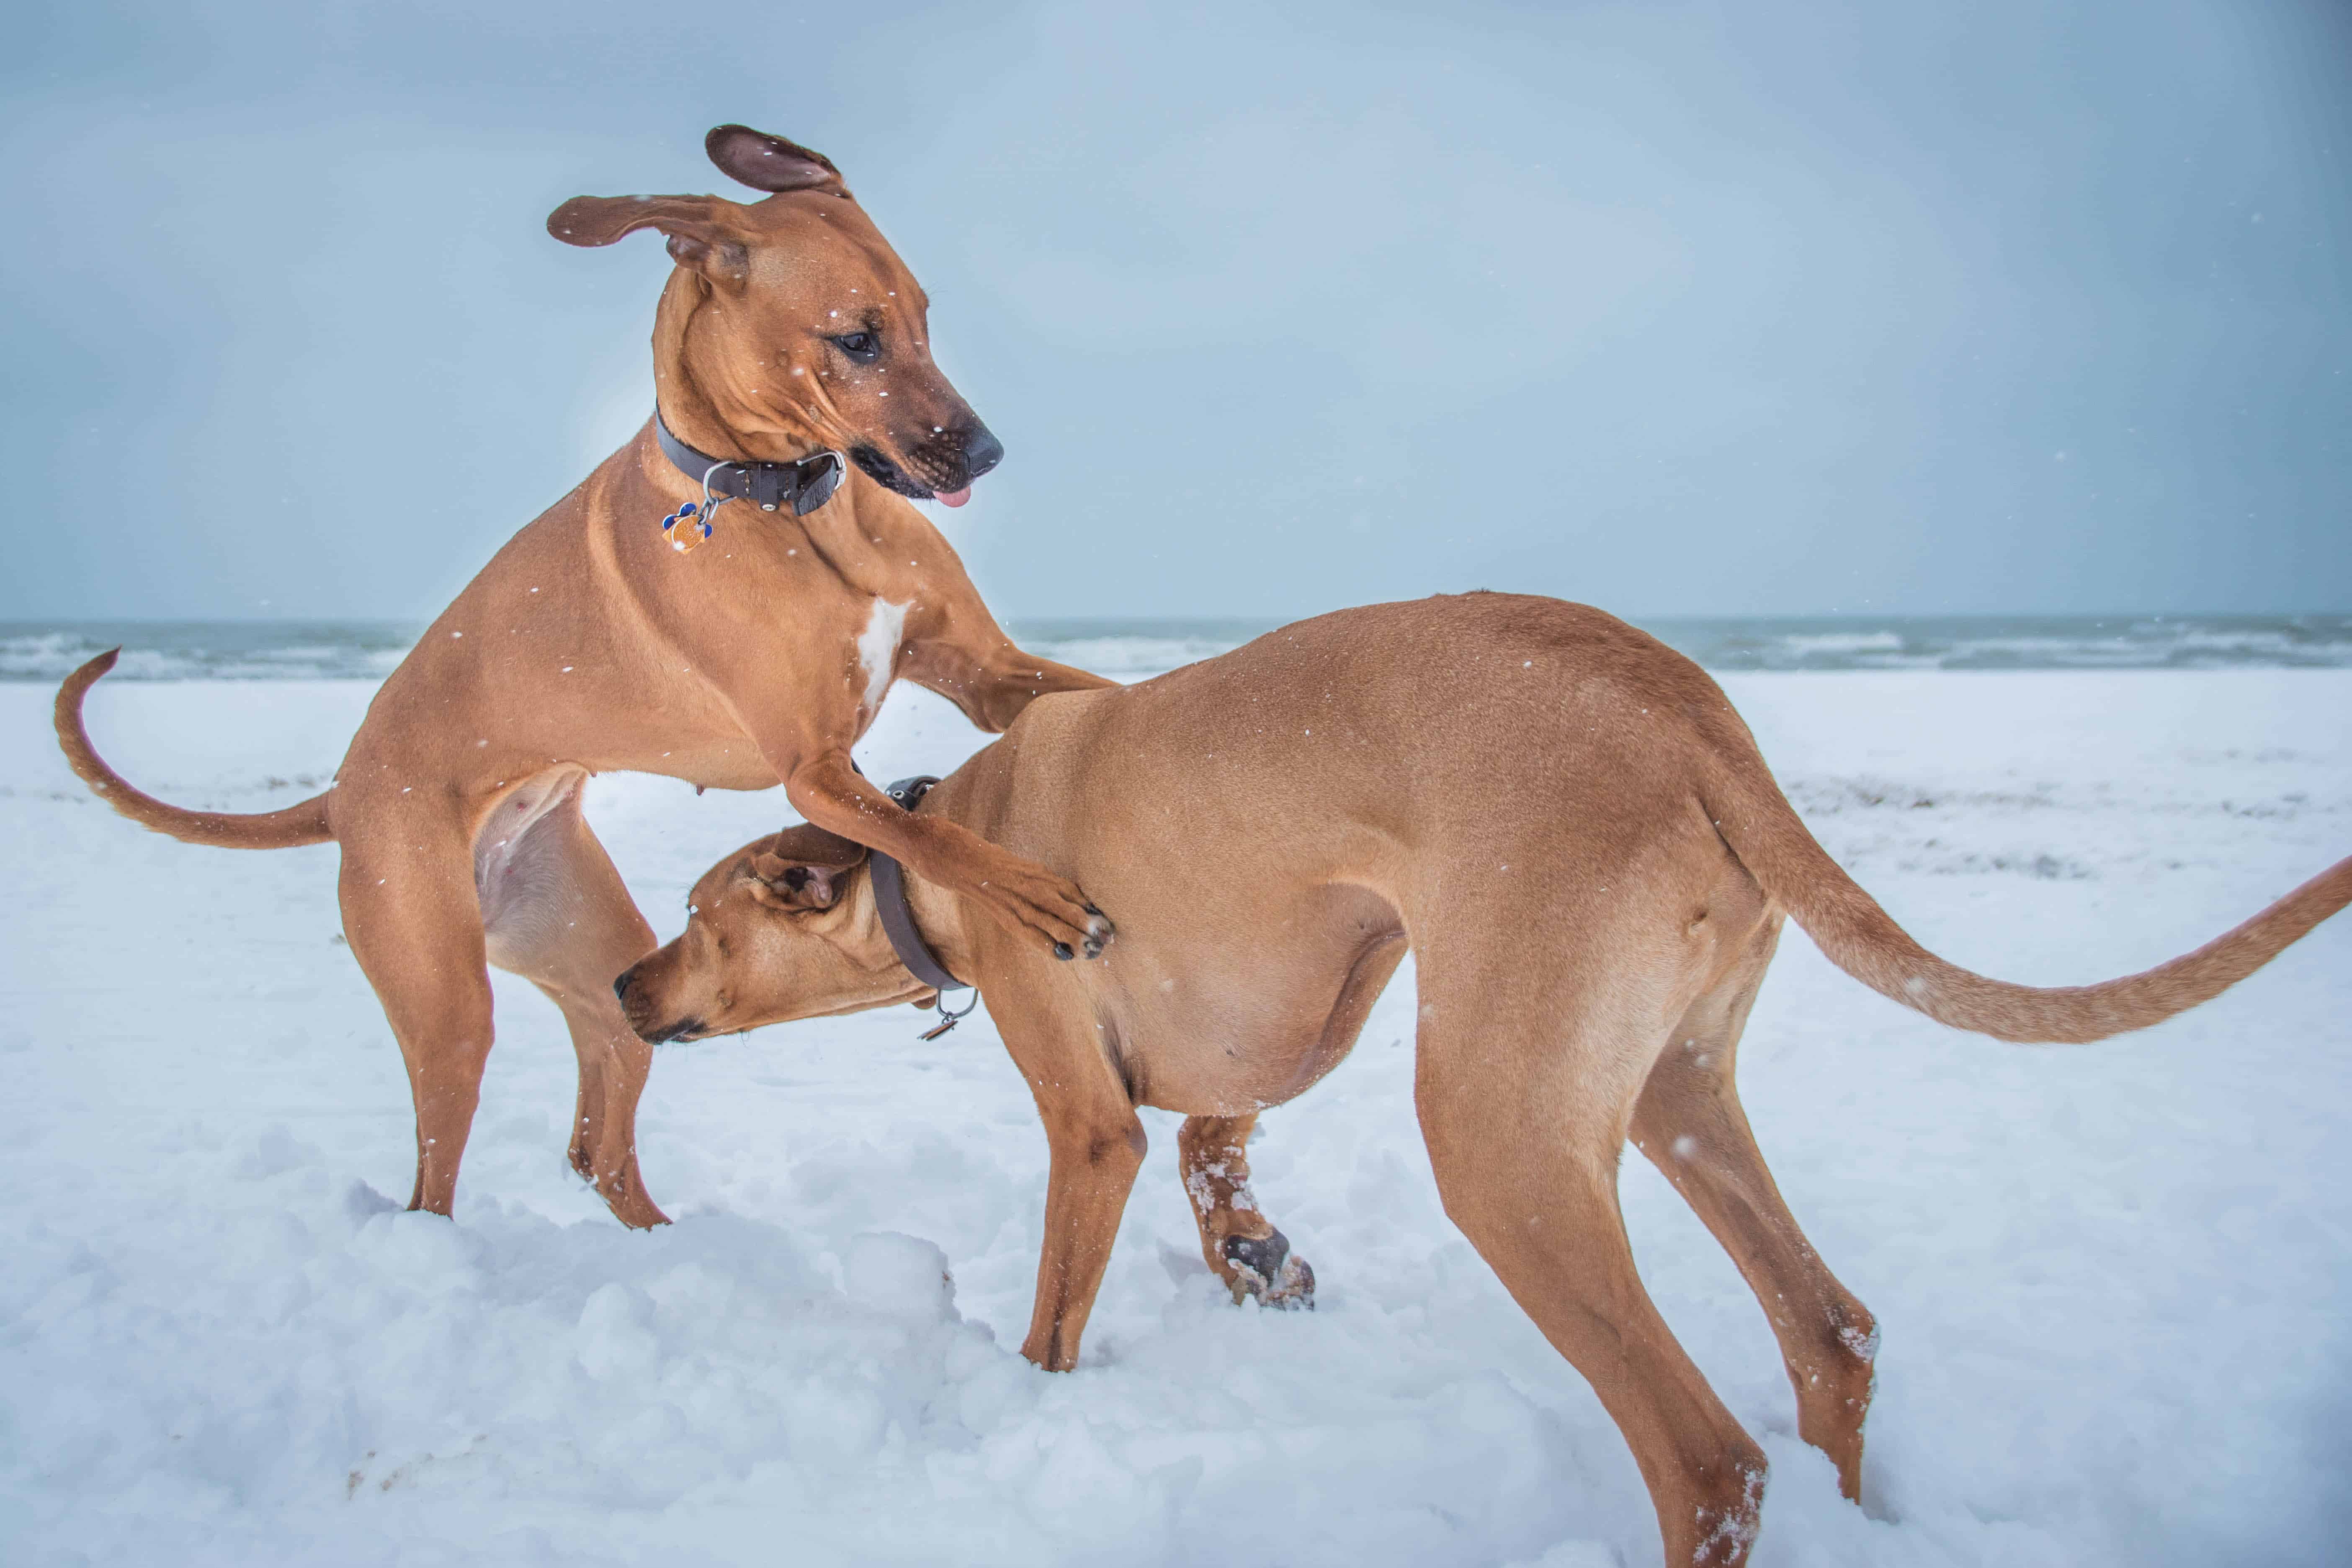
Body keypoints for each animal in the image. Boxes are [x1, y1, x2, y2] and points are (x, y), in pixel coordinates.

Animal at [50, 126, 1115, 1222]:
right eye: (855, 339)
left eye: (923, 320)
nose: (987, 454)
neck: (789, 502)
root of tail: (342, 791)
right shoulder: (814, 770)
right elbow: (930, 833)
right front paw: (1031, 895)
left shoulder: (982, 671)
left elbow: (1077, 695)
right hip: (441, 989)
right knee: (435, 1173)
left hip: (601, 958)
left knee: (598, 1133)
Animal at [611, 595, 2352, 1561]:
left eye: (693, 915)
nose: (625, 985)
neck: (940, 846)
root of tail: (1687, 709)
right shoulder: (1293, 1008)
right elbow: (1220, 1149)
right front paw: (1260, 1262)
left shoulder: (1090, 1124)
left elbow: (1055, 1313)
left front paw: (1016, 1420)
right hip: (1669, 1094)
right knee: (1830, 1333)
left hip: (1499, 1145)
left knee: (1708, 1461)